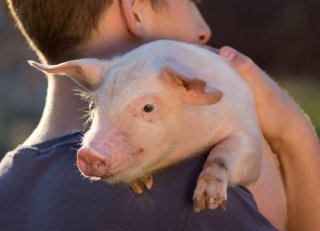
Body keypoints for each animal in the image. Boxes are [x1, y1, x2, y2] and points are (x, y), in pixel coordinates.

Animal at [28, 40, 262, 213]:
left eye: (148, 107)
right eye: (94, 105)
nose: (89, 154)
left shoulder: (248, 130)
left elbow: (224, 153)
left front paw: (206, 204)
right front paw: (141, 185)